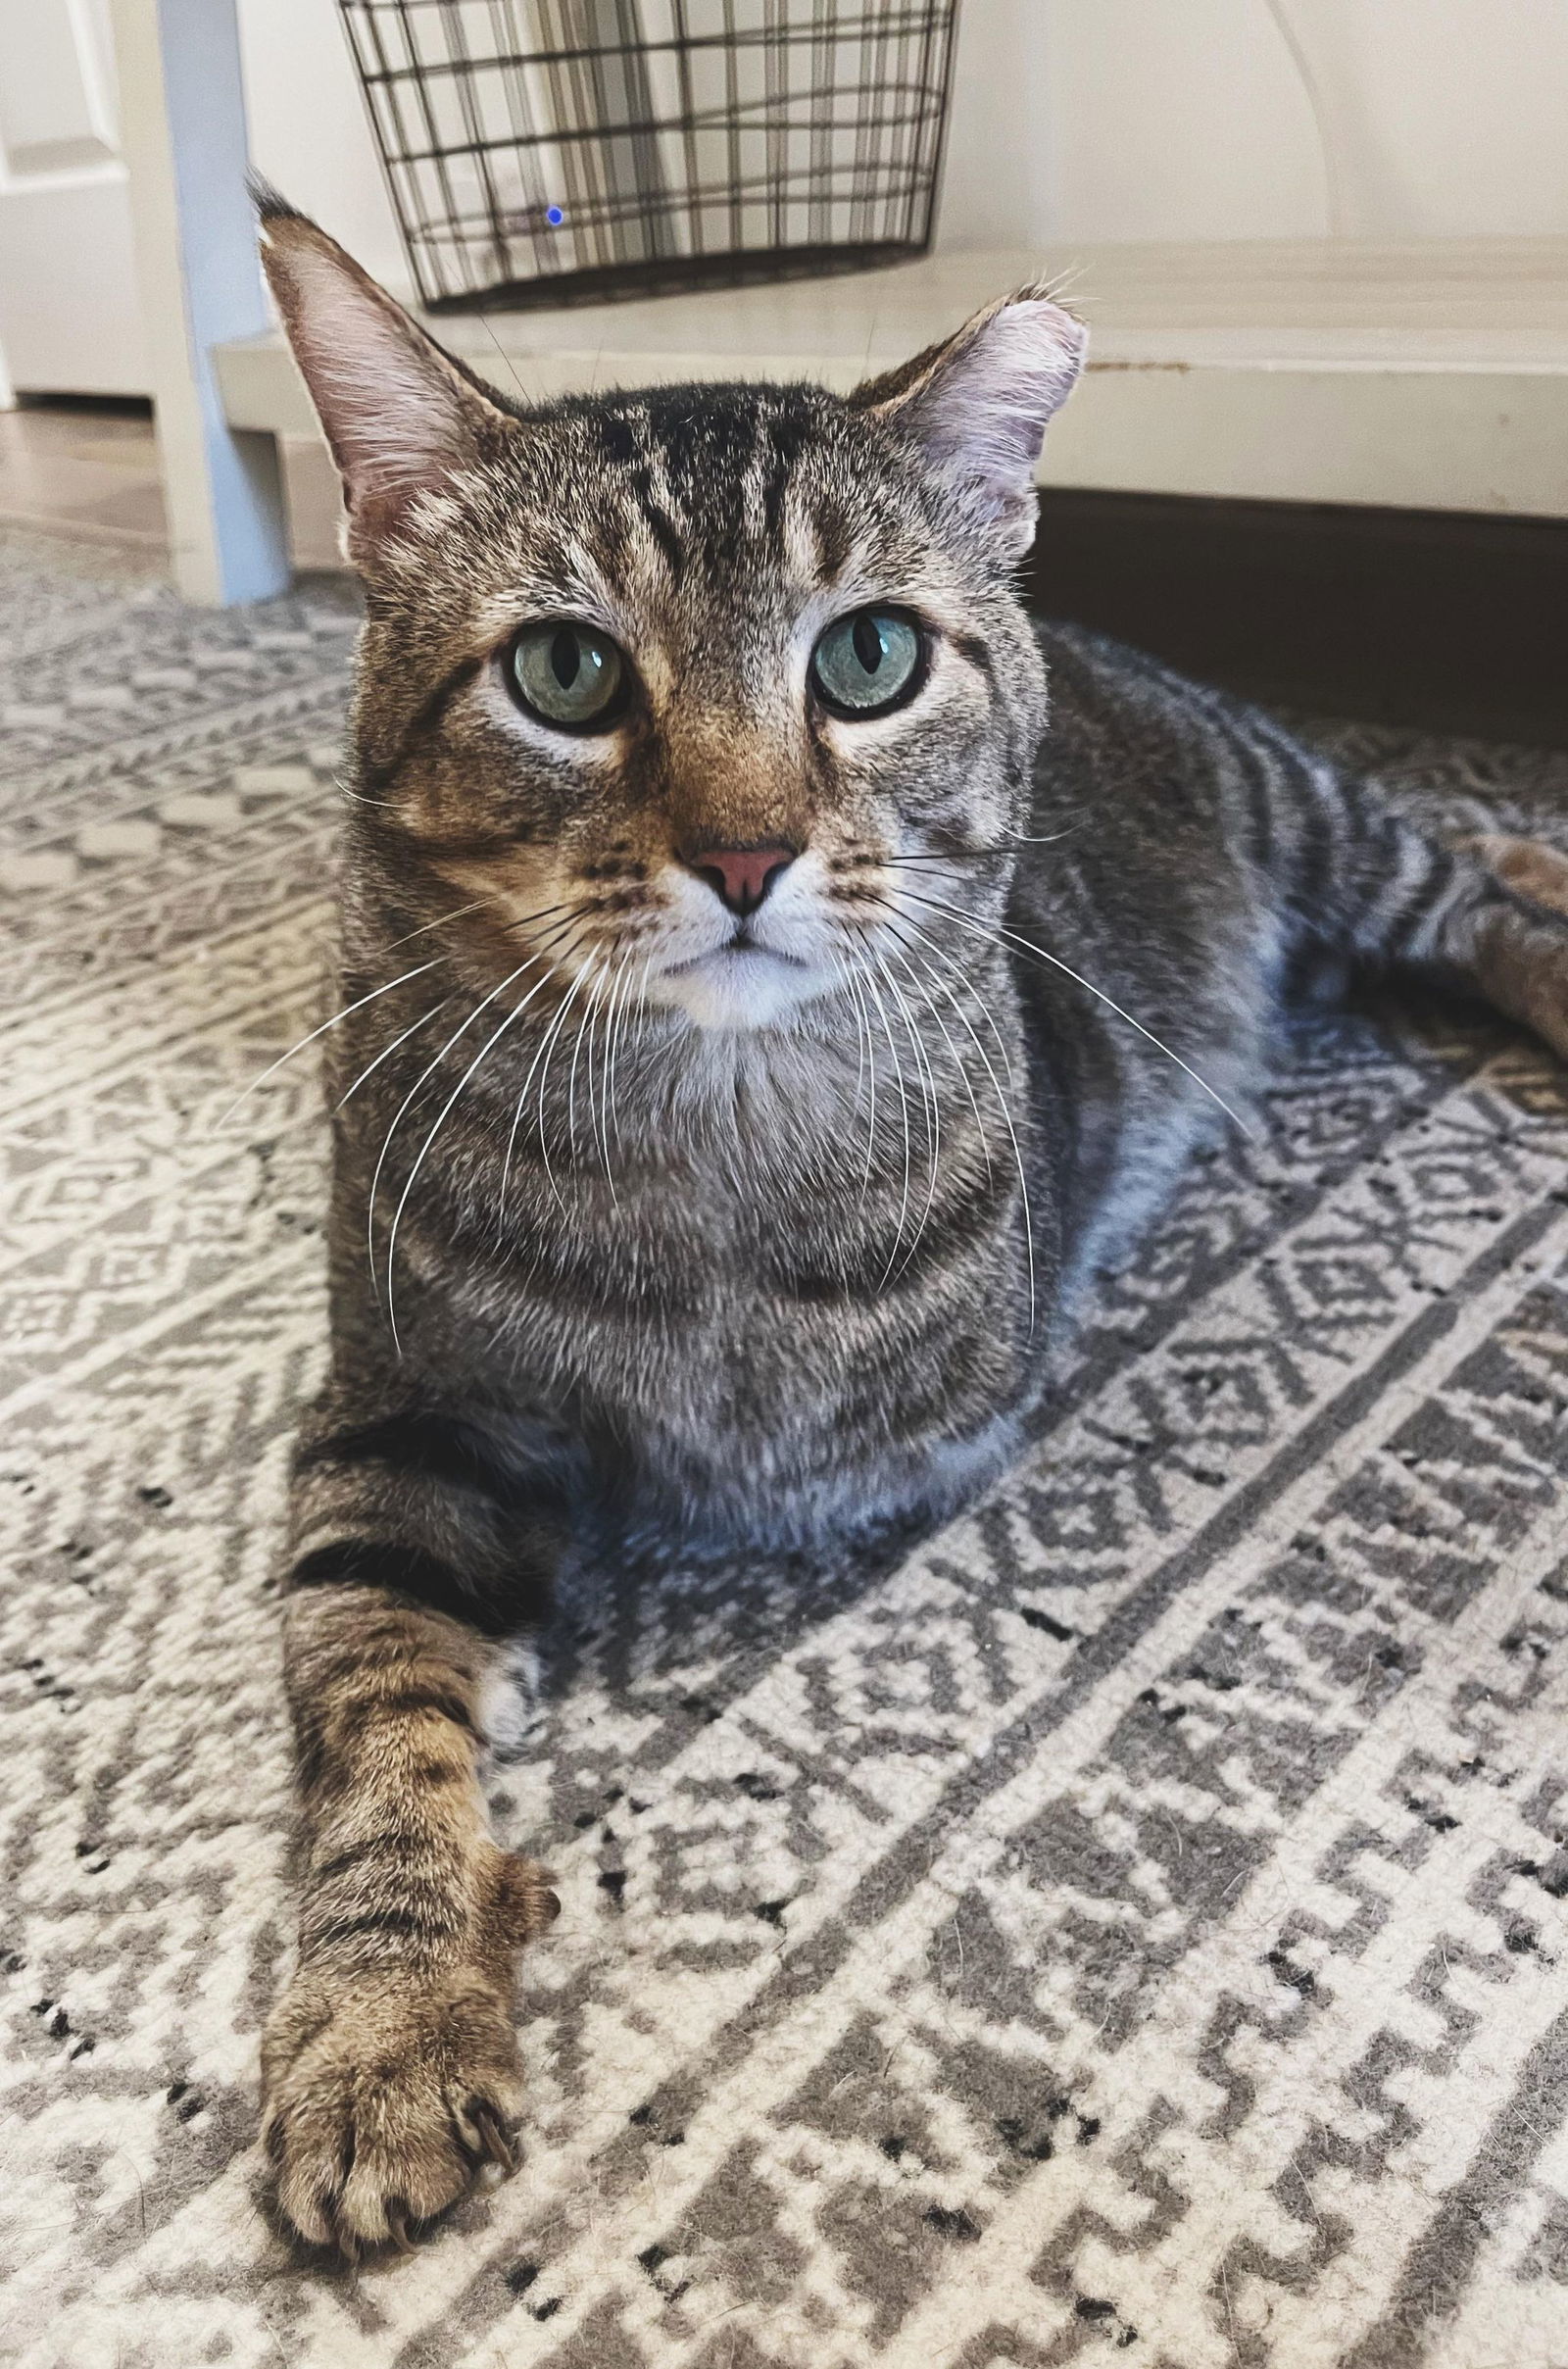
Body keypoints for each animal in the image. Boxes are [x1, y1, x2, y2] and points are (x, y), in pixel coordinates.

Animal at [252, 194, 1568, 2246]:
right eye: (564, 673)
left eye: (866, 656)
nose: (741, 853)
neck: (701, 1134)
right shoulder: (396, 1415)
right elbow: (375, 1706)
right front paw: (383, 2013)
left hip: (1321, 824)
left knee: (1477, 881)